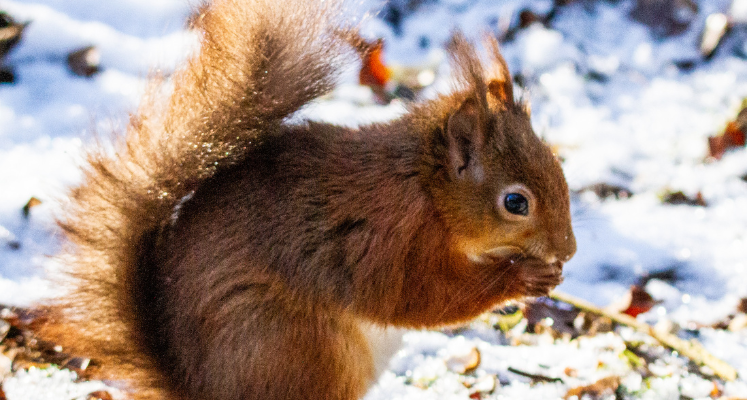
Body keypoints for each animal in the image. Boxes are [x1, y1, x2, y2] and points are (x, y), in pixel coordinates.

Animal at [39, 0, 577, 399]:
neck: (426, 191)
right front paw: (523, 277)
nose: (569, 251)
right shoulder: (385, 238)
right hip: (295, 345)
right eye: (515, 203)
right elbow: (418, 297)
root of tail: (195, 389)